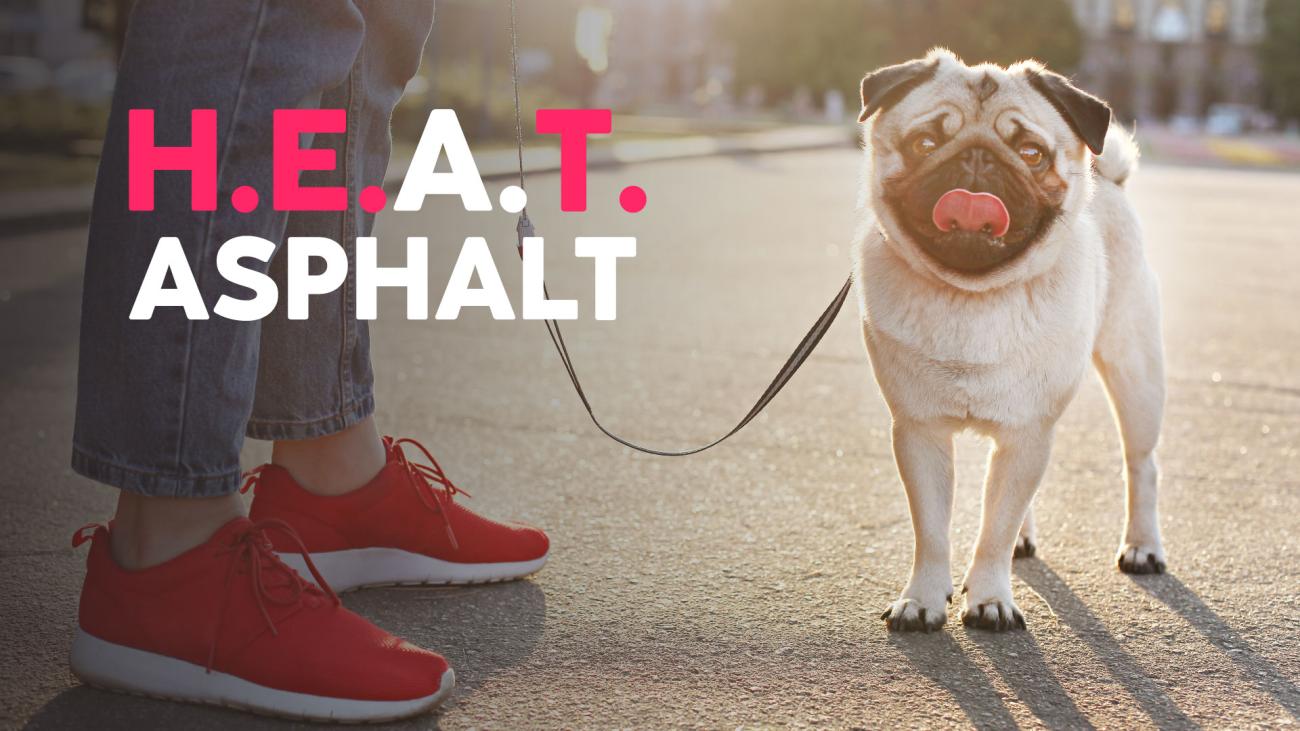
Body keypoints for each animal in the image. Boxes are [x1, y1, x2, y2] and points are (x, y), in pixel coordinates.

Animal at [852, 51, 1170, 632]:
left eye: (1030, 153)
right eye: (925, 143)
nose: (977, 160)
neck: (974, 296)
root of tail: (1111, 182)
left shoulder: (1028, 428)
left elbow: (994, 527)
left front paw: (989, 599)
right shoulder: (920, 431)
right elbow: (932, 530)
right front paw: (923, 599)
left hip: (1135, 376)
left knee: (1141, 464)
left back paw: (1142, 546)